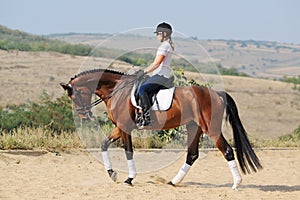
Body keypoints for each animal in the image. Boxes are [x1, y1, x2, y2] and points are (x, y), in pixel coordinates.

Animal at [61, 68, 262, 189]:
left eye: (74, 96)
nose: (84, 116)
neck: (117, 91)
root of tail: (217, 94)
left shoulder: (125, 127)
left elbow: (128, 151)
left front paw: (129, 179)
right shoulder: (119, 127)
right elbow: (104, 144)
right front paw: (112, 174)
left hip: (210, 129)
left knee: (227, 150)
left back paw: (236, 184)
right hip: (194, 127)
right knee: (192, 155)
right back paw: (173, 181)